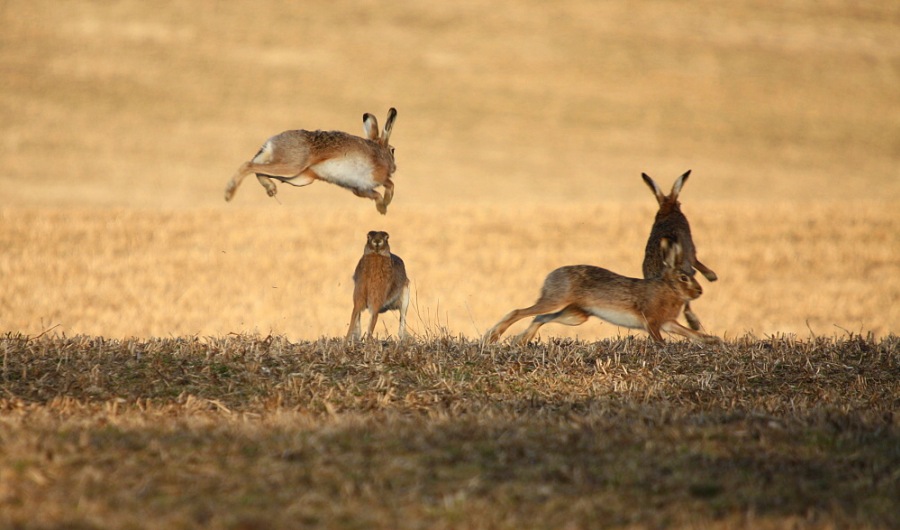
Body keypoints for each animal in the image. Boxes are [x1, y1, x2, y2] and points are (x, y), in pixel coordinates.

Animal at [224, 108, 398, 214]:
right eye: (393, 150)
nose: (395, 167)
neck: (381, 153)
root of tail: (271, 143)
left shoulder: (360, 189)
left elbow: (375, 194)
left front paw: (382, 208)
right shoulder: (377, 177)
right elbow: (390, 185)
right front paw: (385, 205)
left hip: (300, 178)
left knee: (259, 169)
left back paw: (270, 188)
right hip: (292, 165)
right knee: (248, 165)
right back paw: (229, 193)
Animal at [484, 239, 721, 345]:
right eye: (684, 278)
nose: (699, 291)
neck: (668, 289)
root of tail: (552, 274)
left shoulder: (668, 322)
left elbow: (689, 333)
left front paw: (712, 340)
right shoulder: (652, 321)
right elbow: (659, 340)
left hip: (575, 316)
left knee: (541, 317)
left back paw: (521, 341)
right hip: (556, 300)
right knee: (519, 311)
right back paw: (493, 337)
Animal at [641, 170, 717, 331]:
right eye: (680, 203)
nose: (680, 205)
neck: (668, 211)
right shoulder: (692, 254)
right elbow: (698, 263)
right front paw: (712, 276)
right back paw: (693, 323)